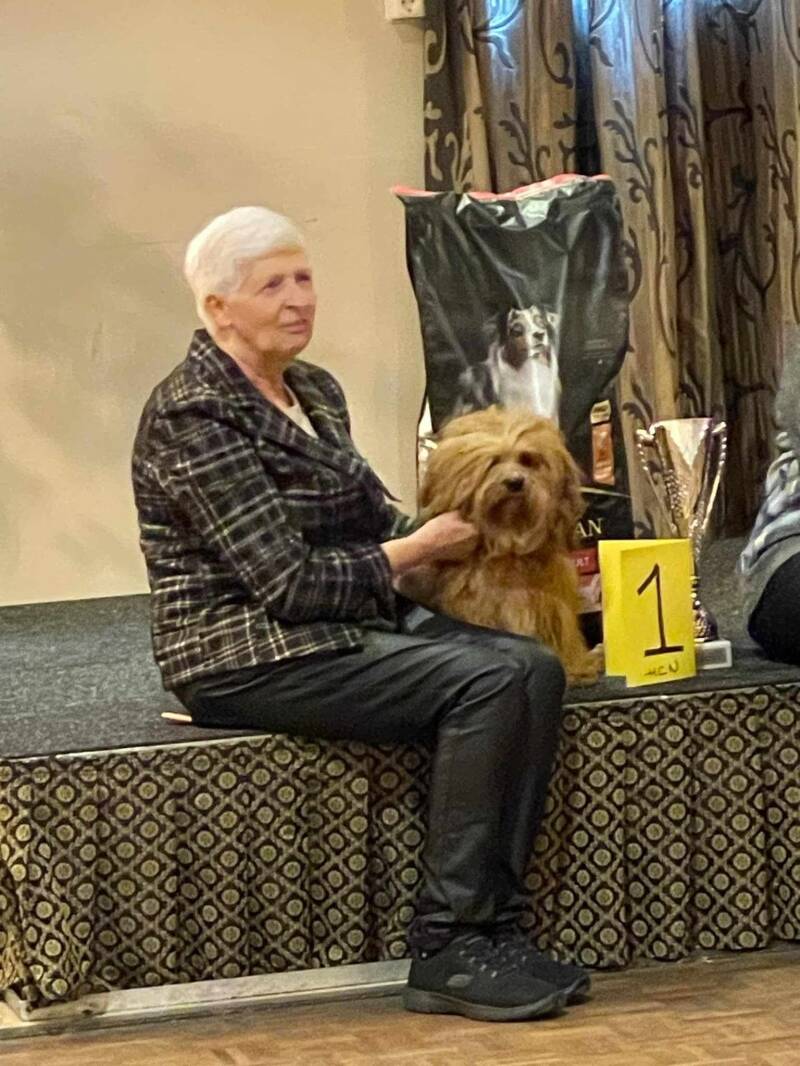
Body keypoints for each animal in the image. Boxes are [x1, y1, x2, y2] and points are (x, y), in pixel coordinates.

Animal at [411, 405, 601, 686]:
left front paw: (576, 670)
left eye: (527, 459)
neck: (508, 543)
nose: (515, 482)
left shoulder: (551, 610)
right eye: (493, 462)